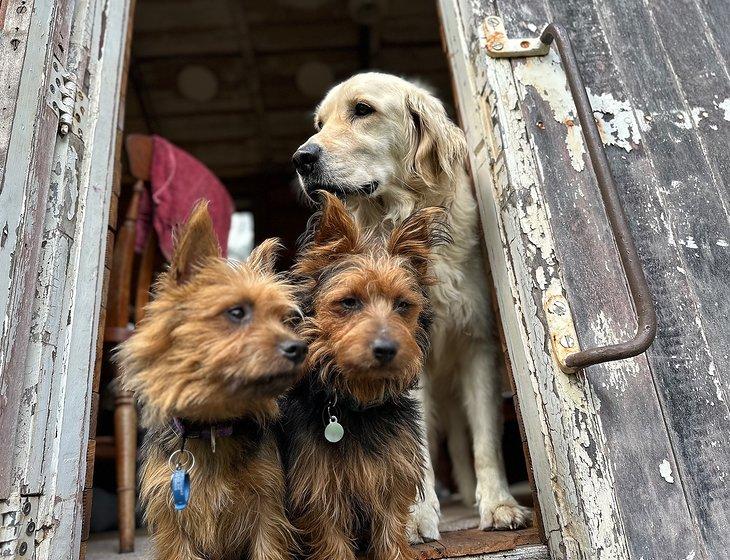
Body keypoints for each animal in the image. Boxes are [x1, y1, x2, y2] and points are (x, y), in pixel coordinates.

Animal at [118, 202, 306, 560]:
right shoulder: (173, 523)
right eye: (237, 313)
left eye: (283, 319)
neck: (212, 427)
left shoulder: (268, 511)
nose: (299, 348)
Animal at [282, 194, 446, 560]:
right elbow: (333, 543)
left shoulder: (389, 485)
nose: (386, 349)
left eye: (402, 305)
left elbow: (391, 537)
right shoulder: (319, 494)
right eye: (349, 302)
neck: (356, 405)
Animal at [292, 72, 532, 540]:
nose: (301, 159)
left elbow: (486, 440)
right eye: (319, 123)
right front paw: (417, 514)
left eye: (362, 110)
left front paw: (499, 504)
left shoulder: (477, 344)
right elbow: (415, 442)